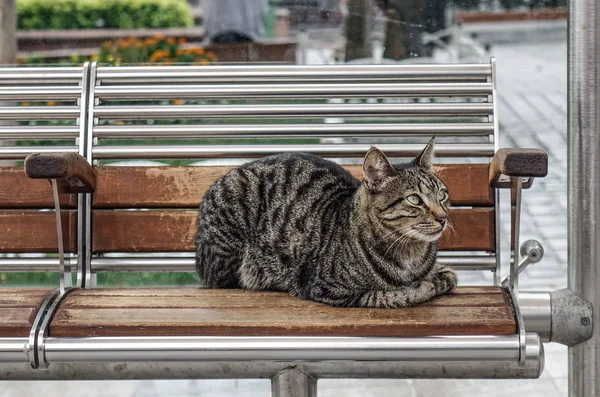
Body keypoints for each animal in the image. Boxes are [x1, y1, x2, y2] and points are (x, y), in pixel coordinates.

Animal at [195, 138, 458, 308]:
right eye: (414, 199)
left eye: (442, 194)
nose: (443, 218)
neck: (411, 255)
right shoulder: (326, 288)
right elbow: (390, 295)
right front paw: (422, 287)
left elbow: (450, 276)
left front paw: (436, 278)